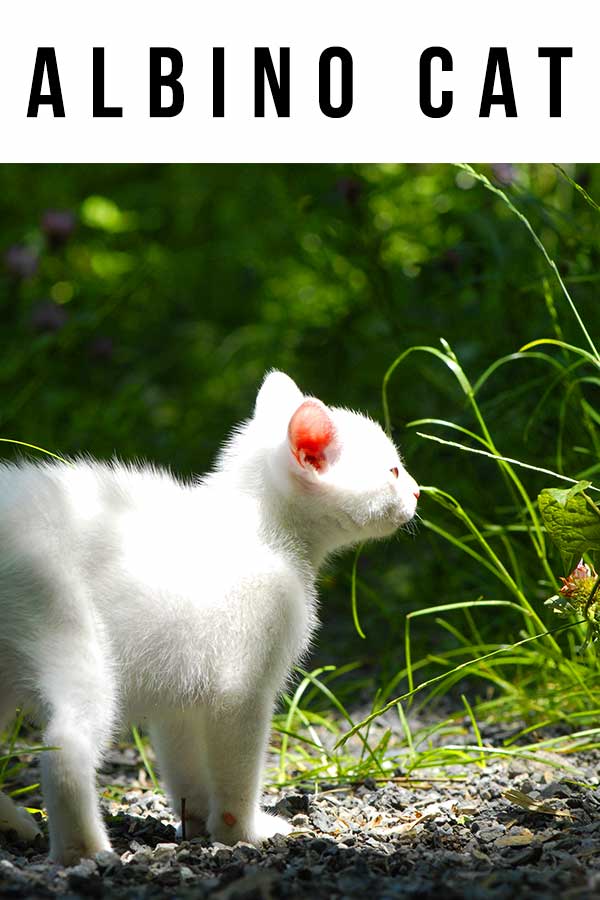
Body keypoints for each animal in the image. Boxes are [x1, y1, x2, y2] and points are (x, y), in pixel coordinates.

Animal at [0, 370, 420, 864]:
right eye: (392, 472)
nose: (418, 491)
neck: (266, 530)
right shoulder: (241, 684)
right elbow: (237, 768)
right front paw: (242, 830)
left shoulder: (180, 690)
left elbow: (184, 763)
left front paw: (196, 817)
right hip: (65, 623)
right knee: (65, 748)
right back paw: (86, 851)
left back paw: (13, 823)